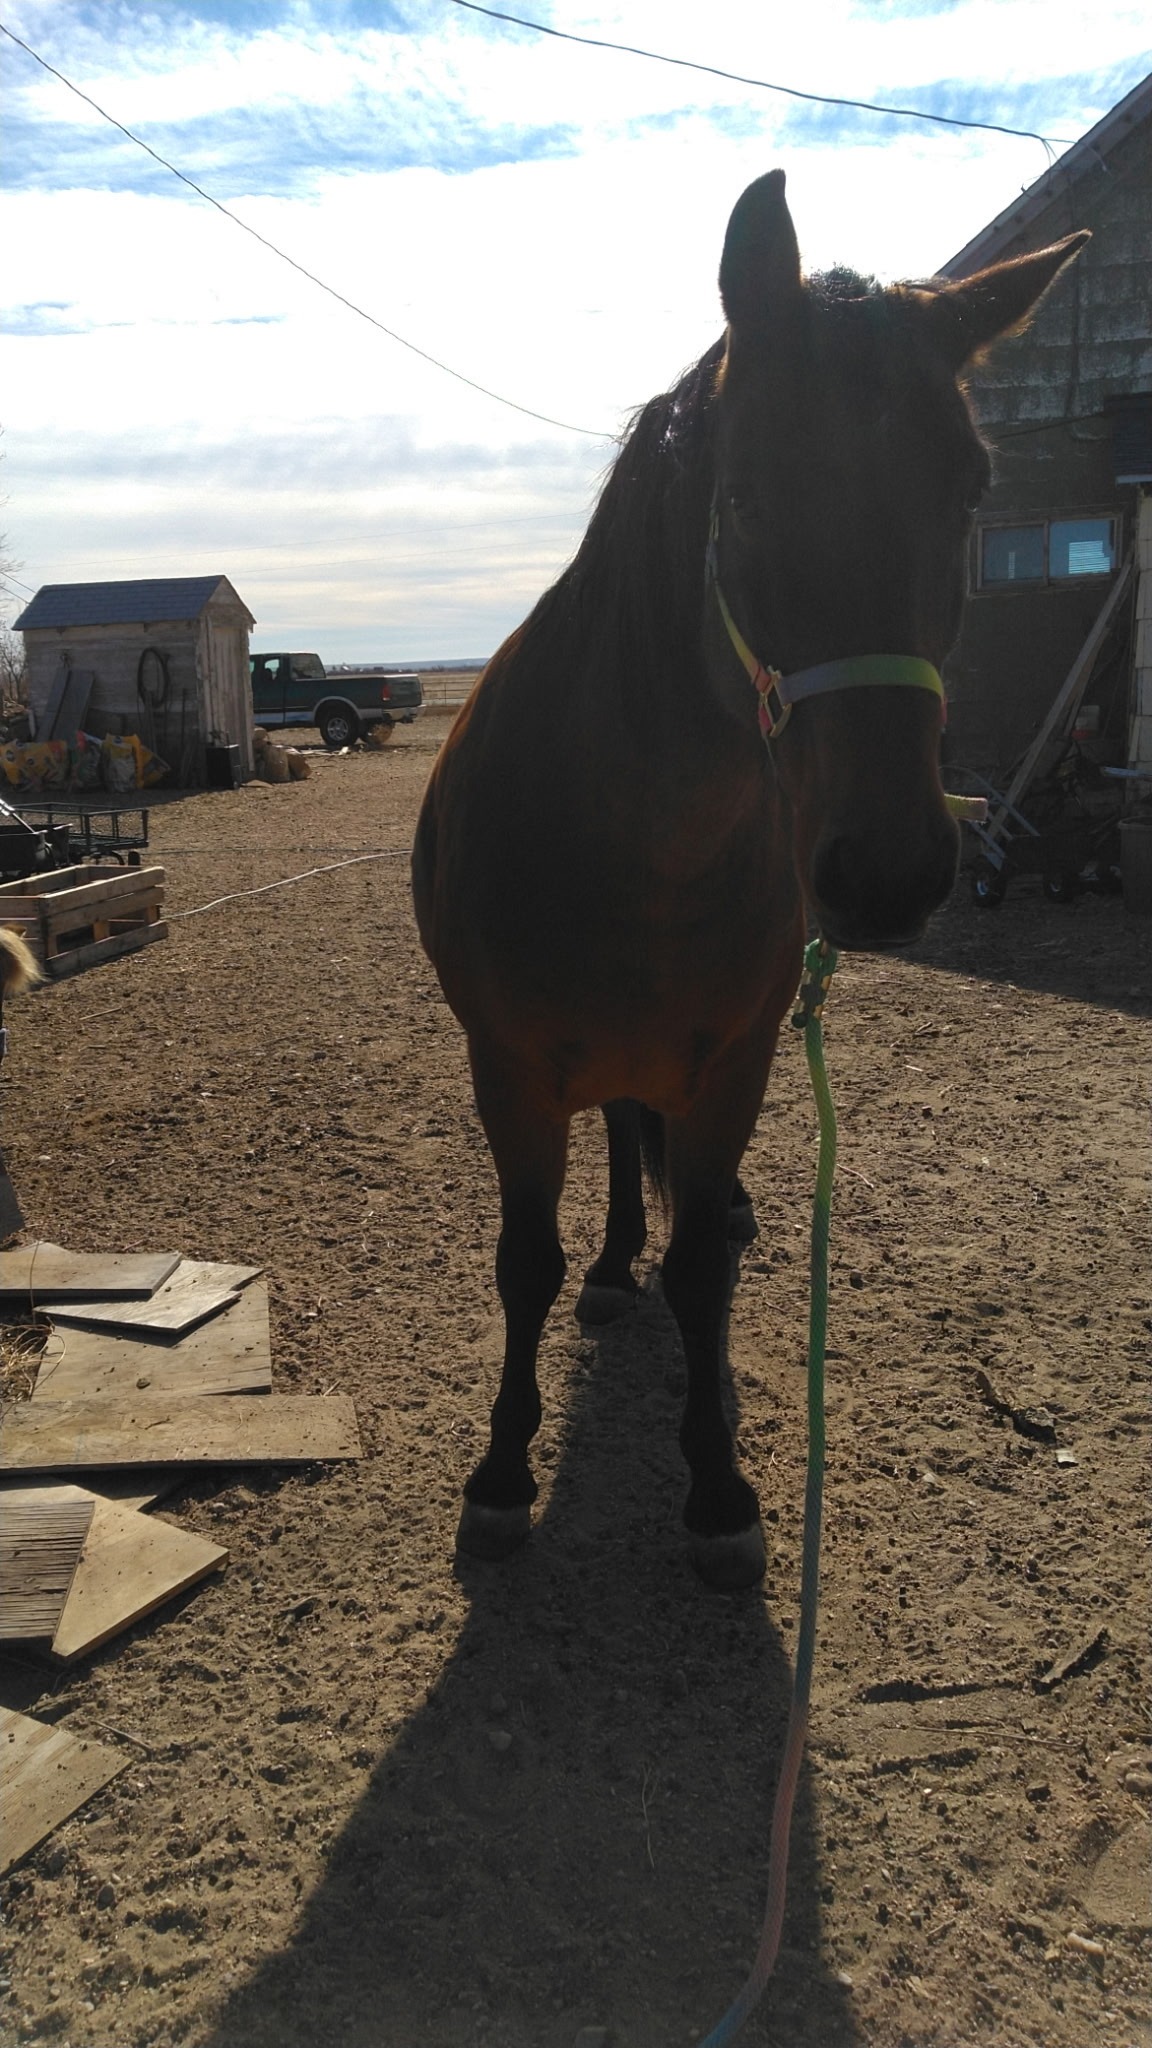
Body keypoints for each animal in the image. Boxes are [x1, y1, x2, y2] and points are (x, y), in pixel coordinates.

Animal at [412, 170, 1086, 1590]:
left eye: (970, 490)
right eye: (747, 495)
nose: (889, 870)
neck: (632, 842)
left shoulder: (736, 1061)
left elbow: (702, 1279)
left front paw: (718, 1483)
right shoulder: (509, 1068)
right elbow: (524, 1263)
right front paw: (501, 1473)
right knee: (618, 1149)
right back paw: (614, 1261)